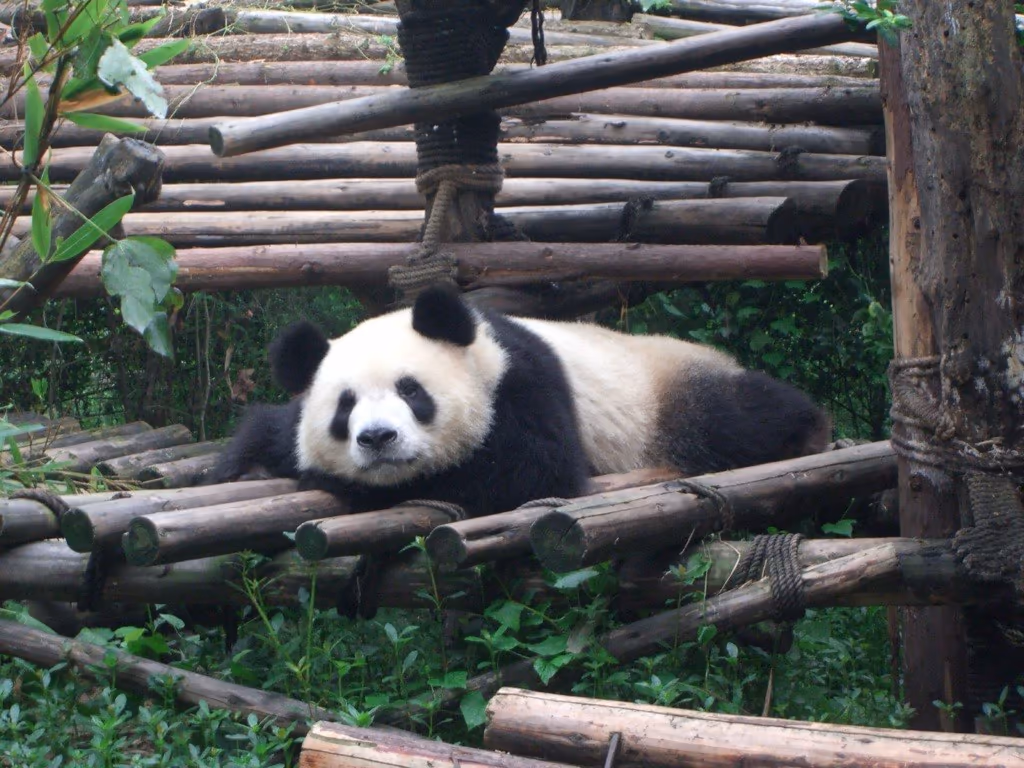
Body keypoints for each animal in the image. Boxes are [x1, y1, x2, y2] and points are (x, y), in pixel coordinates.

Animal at [250, 284, 831, 516]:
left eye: (411, 391)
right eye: (344, 407)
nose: (377, 438)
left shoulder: (522, 385)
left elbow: (527, 474)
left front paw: (333, 481)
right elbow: (267, 434)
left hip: (669, 392)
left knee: (737, 417)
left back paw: (808, 429)